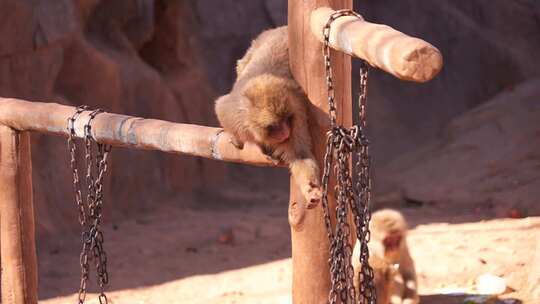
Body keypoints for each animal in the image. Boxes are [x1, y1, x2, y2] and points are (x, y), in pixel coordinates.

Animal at [213, 26, 320, 205]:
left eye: (287, 119)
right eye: (274, 125)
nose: (285, 132)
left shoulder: (297, 110)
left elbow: (299, 154)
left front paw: (310, 188)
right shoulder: (233, 113)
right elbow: (220, 108)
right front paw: (237, 138)